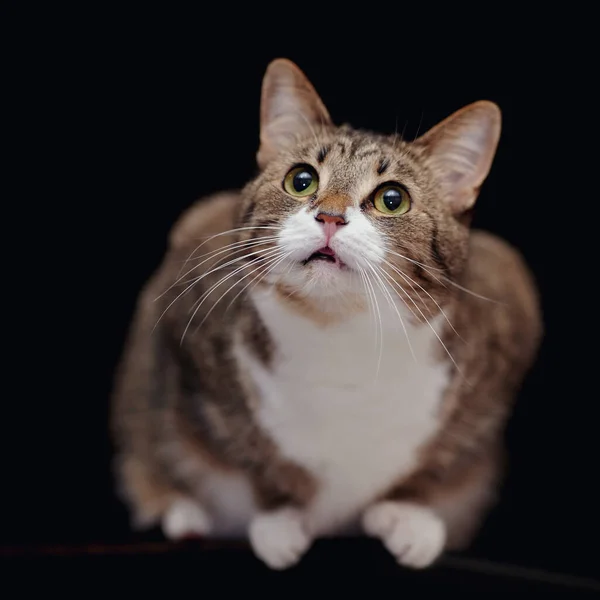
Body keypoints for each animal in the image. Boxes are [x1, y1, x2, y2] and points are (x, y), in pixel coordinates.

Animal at [110, 58, 540, 568]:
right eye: (302, 180)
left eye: (392, 199)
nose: (330, 217)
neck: (341, 339)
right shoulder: (192, 285)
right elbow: (243, 443)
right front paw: (279, 516)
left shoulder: (510, 307)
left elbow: (446, 454)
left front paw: (408, 513)